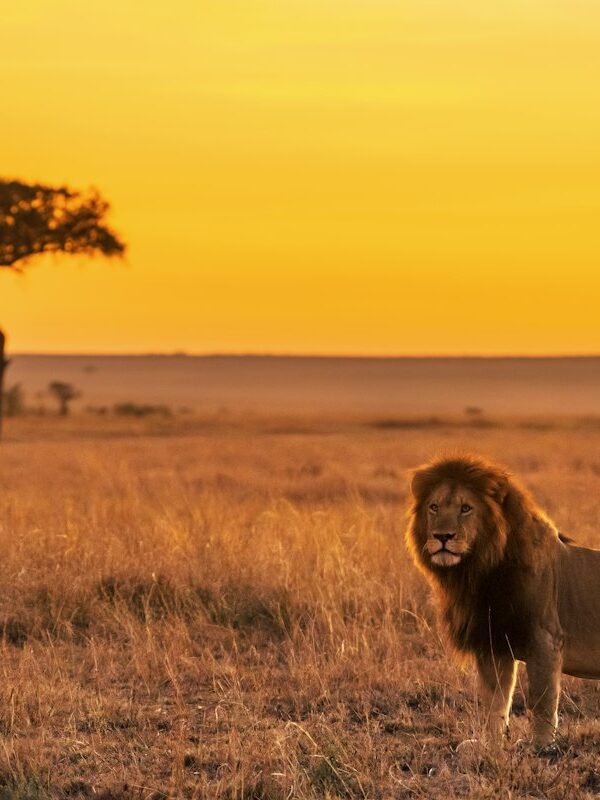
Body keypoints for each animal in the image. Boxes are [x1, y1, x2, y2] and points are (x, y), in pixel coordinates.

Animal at [406, 454, 600, 749]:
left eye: (465, 508)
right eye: (434, 507)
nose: (442, 536)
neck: (477, 571)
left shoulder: (544, 638)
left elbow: (542, 699)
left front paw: (541, 746)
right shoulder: (493, 643)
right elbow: (494, 700)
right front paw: (489, 744)